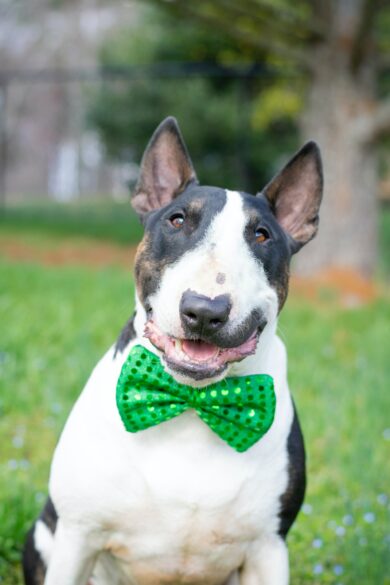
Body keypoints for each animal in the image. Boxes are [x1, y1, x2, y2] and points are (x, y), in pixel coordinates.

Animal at [23, 116, 322, 580]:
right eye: (177, 220)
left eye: (261, 235)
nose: (204, 311)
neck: (191, 402)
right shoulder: (77, 536)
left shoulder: (268, 549)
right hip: (41, 535)